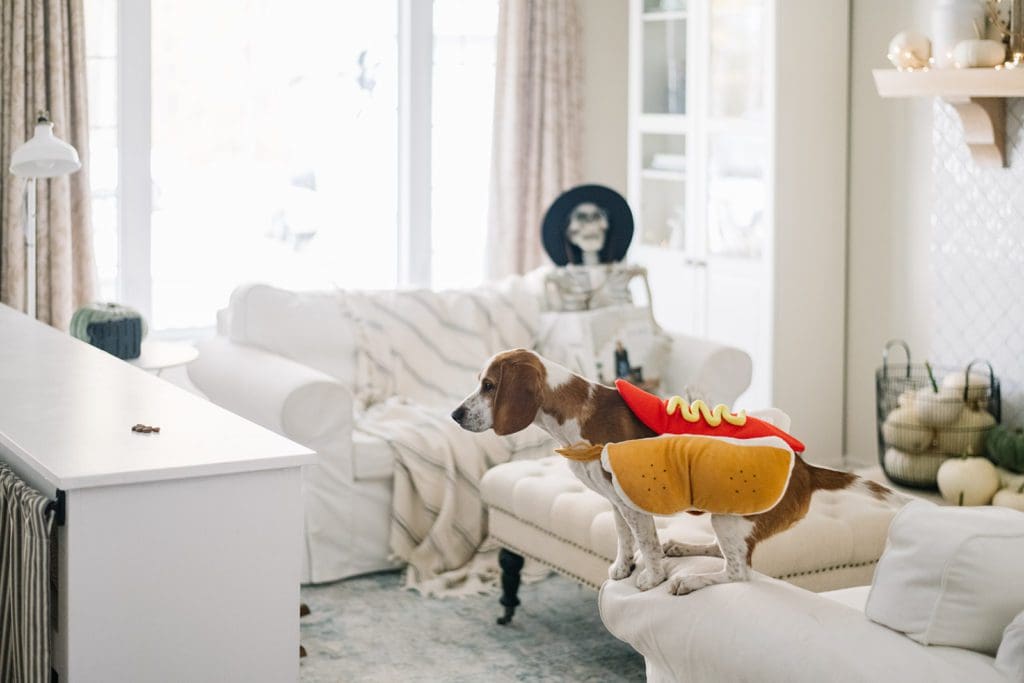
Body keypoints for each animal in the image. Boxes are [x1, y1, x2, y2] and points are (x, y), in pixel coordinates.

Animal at [450, 350, 905, 593]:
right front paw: (623, 568)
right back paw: (684, 549)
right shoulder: (615, 503)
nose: (454, 415)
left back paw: (691, 580)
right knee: (727, 554)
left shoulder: (633, 502)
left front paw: (649, 578)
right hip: (726, 518)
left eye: (489, 386)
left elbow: (646, 542)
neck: (575, 415)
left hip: (729, 516)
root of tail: (808, 469)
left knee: (739, 572)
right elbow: (625, 540)